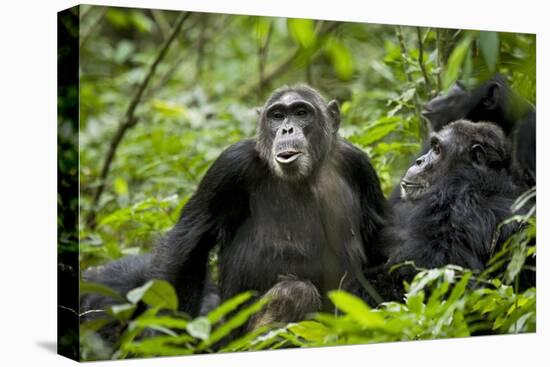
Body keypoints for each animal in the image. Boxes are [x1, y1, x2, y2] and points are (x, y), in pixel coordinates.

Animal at [84, 85, 390, 334]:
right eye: (277, 116)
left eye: (302, 112)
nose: (287, 129)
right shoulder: (230, 166)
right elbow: (188, 242)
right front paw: (165, 336)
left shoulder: (360, 165)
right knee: (295, 292)